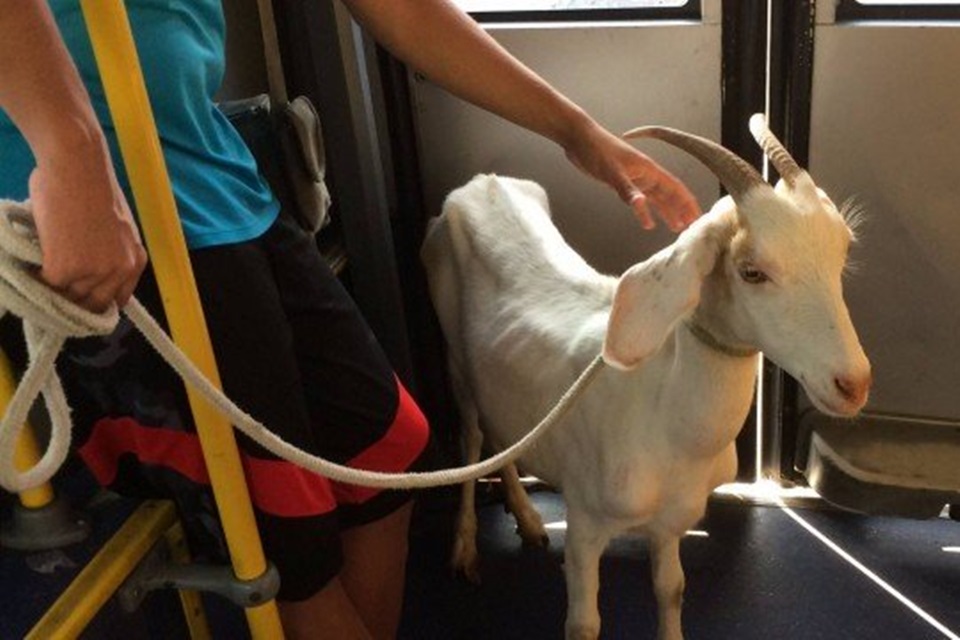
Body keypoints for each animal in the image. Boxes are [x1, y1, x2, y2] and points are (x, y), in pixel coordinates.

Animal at [420, 116, 872, 640]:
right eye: (752, 271)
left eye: (843, 252)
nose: (853, 384)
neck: (665, 418)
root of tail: (480, 183)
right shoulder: (584, 523)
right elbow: (584, 624)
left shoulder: (670, 522)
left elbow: (670, 589)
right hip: (454, 357)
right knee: (471, 438)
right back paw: (465, 550)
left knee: (499, 433)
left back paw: (529, 521)